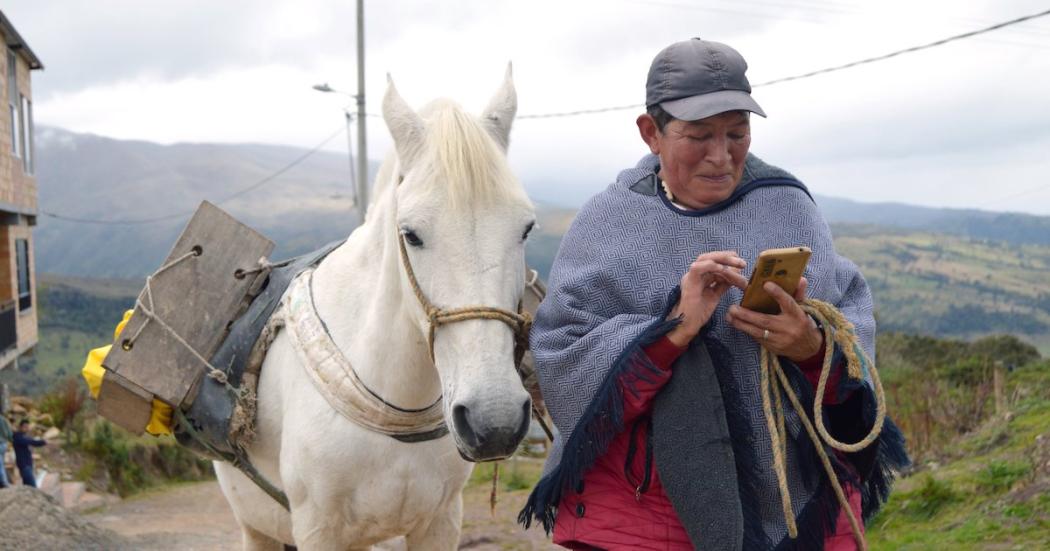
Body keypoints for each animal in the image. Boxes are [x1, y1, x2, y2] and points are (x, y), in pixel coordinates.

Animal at [217, 69, 537, 549]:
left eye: (526, 228)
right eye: (411, 234)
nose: (493, 421)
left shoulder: (440, 522)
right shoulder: (317, 530)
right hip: (255, 526)